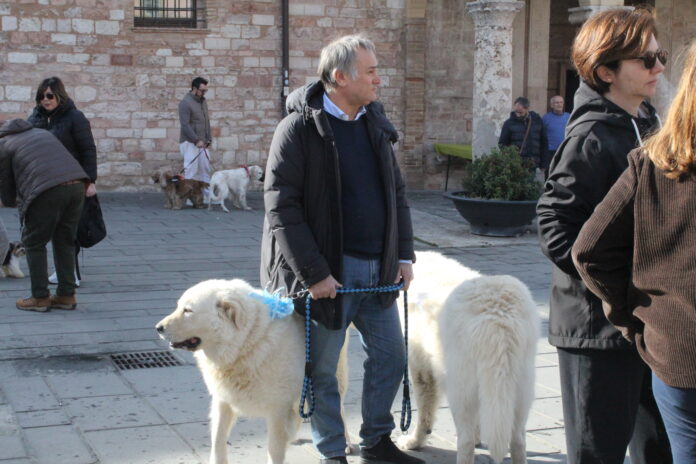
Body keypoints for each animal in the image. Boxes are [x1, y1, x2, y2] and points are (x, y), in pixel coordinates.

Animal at [156, 279, 350, 464]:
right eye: (179, 307)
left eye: (188, 310)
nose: (158, 328)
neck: (247, 342)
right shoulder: (222, 401)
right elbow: (217, 440)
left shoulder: (277, 410)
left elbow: (274, 449)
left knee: (338, 407)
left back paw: (345, 442)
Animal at [398, 251, 539, 464]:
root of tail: (498, 319)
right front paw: (479, 436)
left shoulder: (420, 367)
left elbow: (424, 412)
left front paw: (414, 442)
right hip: (520, 389)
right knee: (518, 440)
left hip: (460, 391)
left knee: (465, 441)